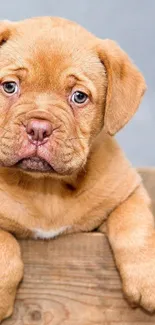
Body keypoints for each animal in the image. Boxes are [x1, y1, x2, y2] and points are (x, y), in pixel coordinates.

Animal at [0, 16, 154, 320]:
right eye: (9, 87)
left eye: (79, 97)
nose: (38, 128)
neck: (45, 187)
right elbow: (4, 246)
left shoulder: (128, 191)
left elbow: (136, 225)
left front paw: (148, 279)